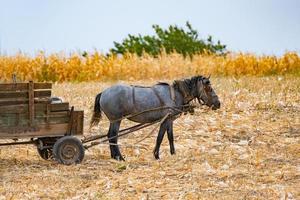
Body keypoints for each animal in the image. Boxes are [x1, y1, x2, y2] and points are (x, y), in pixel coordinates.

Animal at [89, 75, 220, 161]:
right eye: (209, 88)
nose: (218, 104)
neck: (175, 94)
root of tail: (103, 93)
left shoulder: (170, 120)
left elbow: (170, 137)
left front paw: (173, 153)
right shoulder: (165, 120)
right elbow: (160, 137)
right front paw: (156, 155)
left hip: (114, 120)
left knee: (109, 135)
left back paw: (114, 156)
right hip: (116, 120)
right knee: (113, 136)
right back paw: (119, 157)